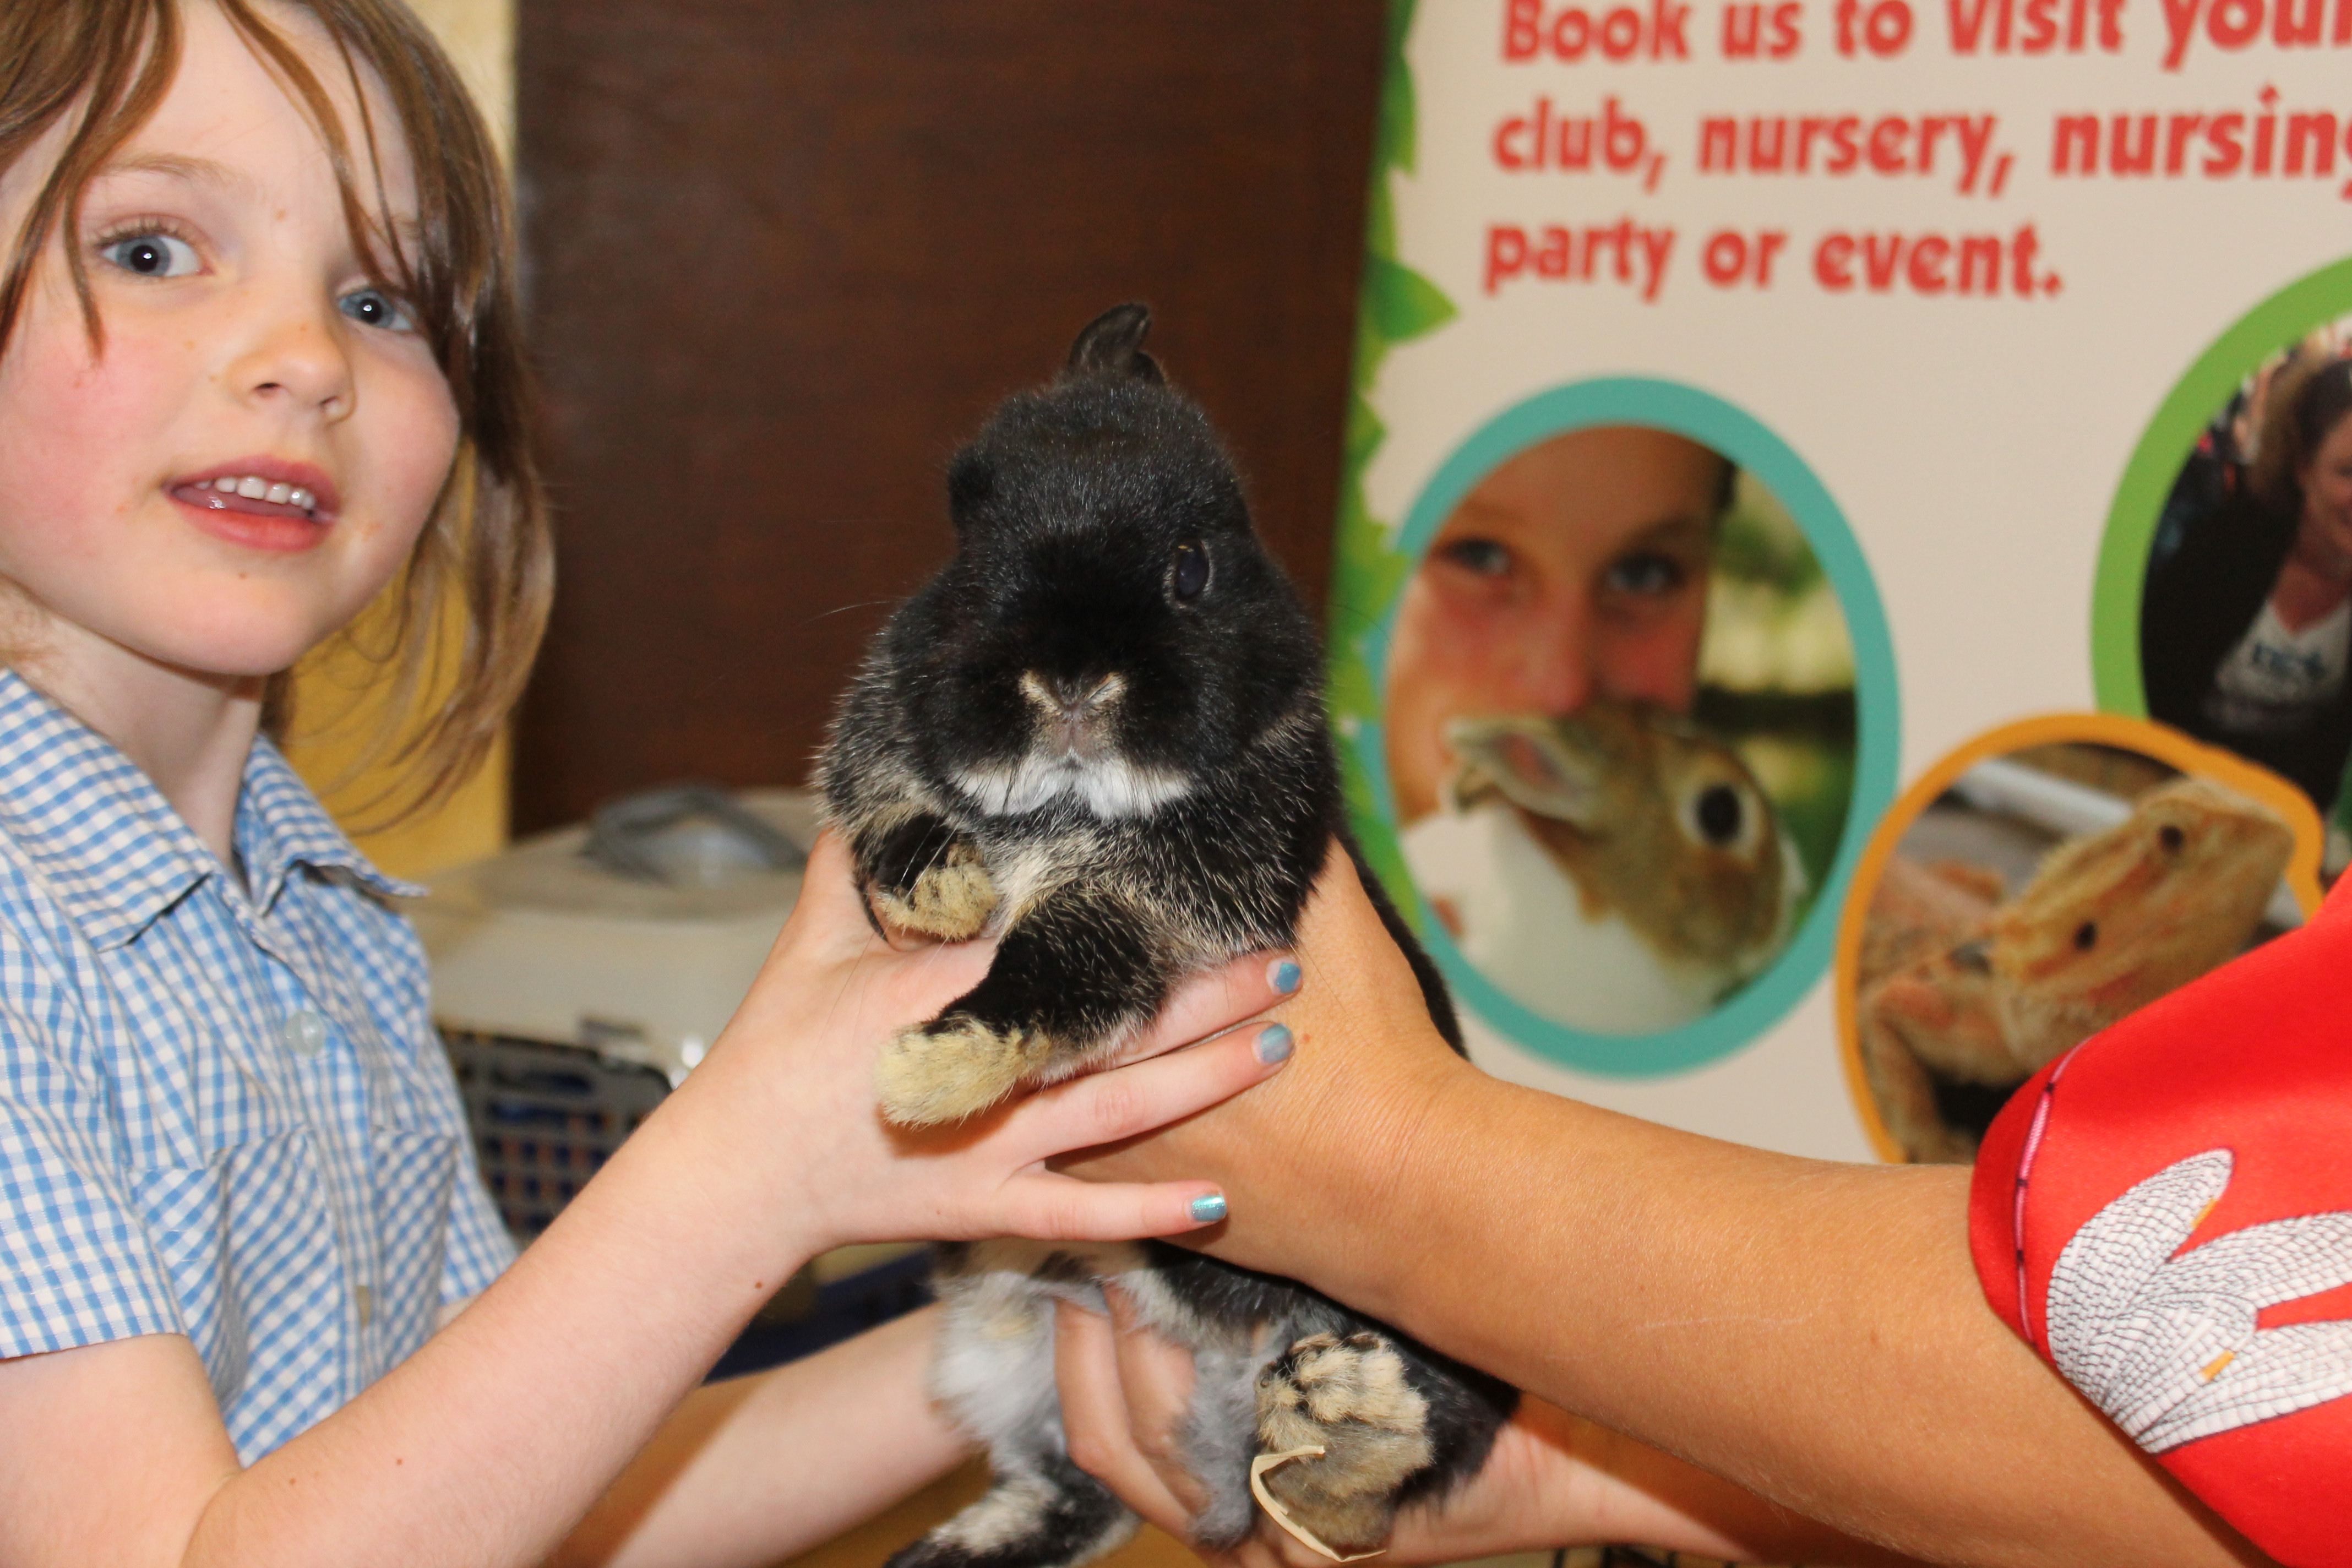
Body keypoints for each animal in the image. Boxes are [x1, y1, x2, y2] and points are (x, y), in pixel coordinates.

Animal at [818, 303, 1515, 1568]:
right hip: (1007, 1336)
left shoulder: (1167, 910)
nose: (1069, 678)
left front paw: (927, 1071)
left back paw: (1344, 1423)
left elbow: (1059, 964)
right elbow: (891, 833)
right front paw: (947, 894)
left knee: (1373, 1481)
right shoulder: (882, 771)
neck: (1069, 805)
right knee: (1071, 1488)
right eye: (971, 549)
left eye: (1189, 568)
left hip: (1422, 1332)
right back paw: (947, 1549)